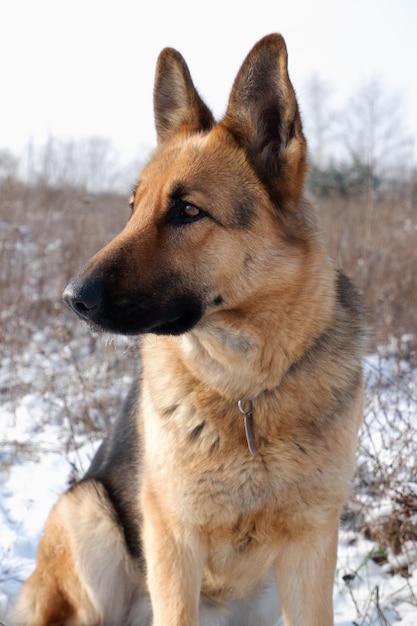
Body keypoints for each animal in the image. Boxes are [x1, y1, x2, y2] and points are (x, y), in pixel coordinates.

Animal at [13, 34, 366, 624]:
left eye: (187, 211)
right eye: (133, 208)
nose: (71, 298)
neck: (245, 391)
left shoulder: (311, 548)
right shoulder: (174, 543)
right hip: (88, 516)